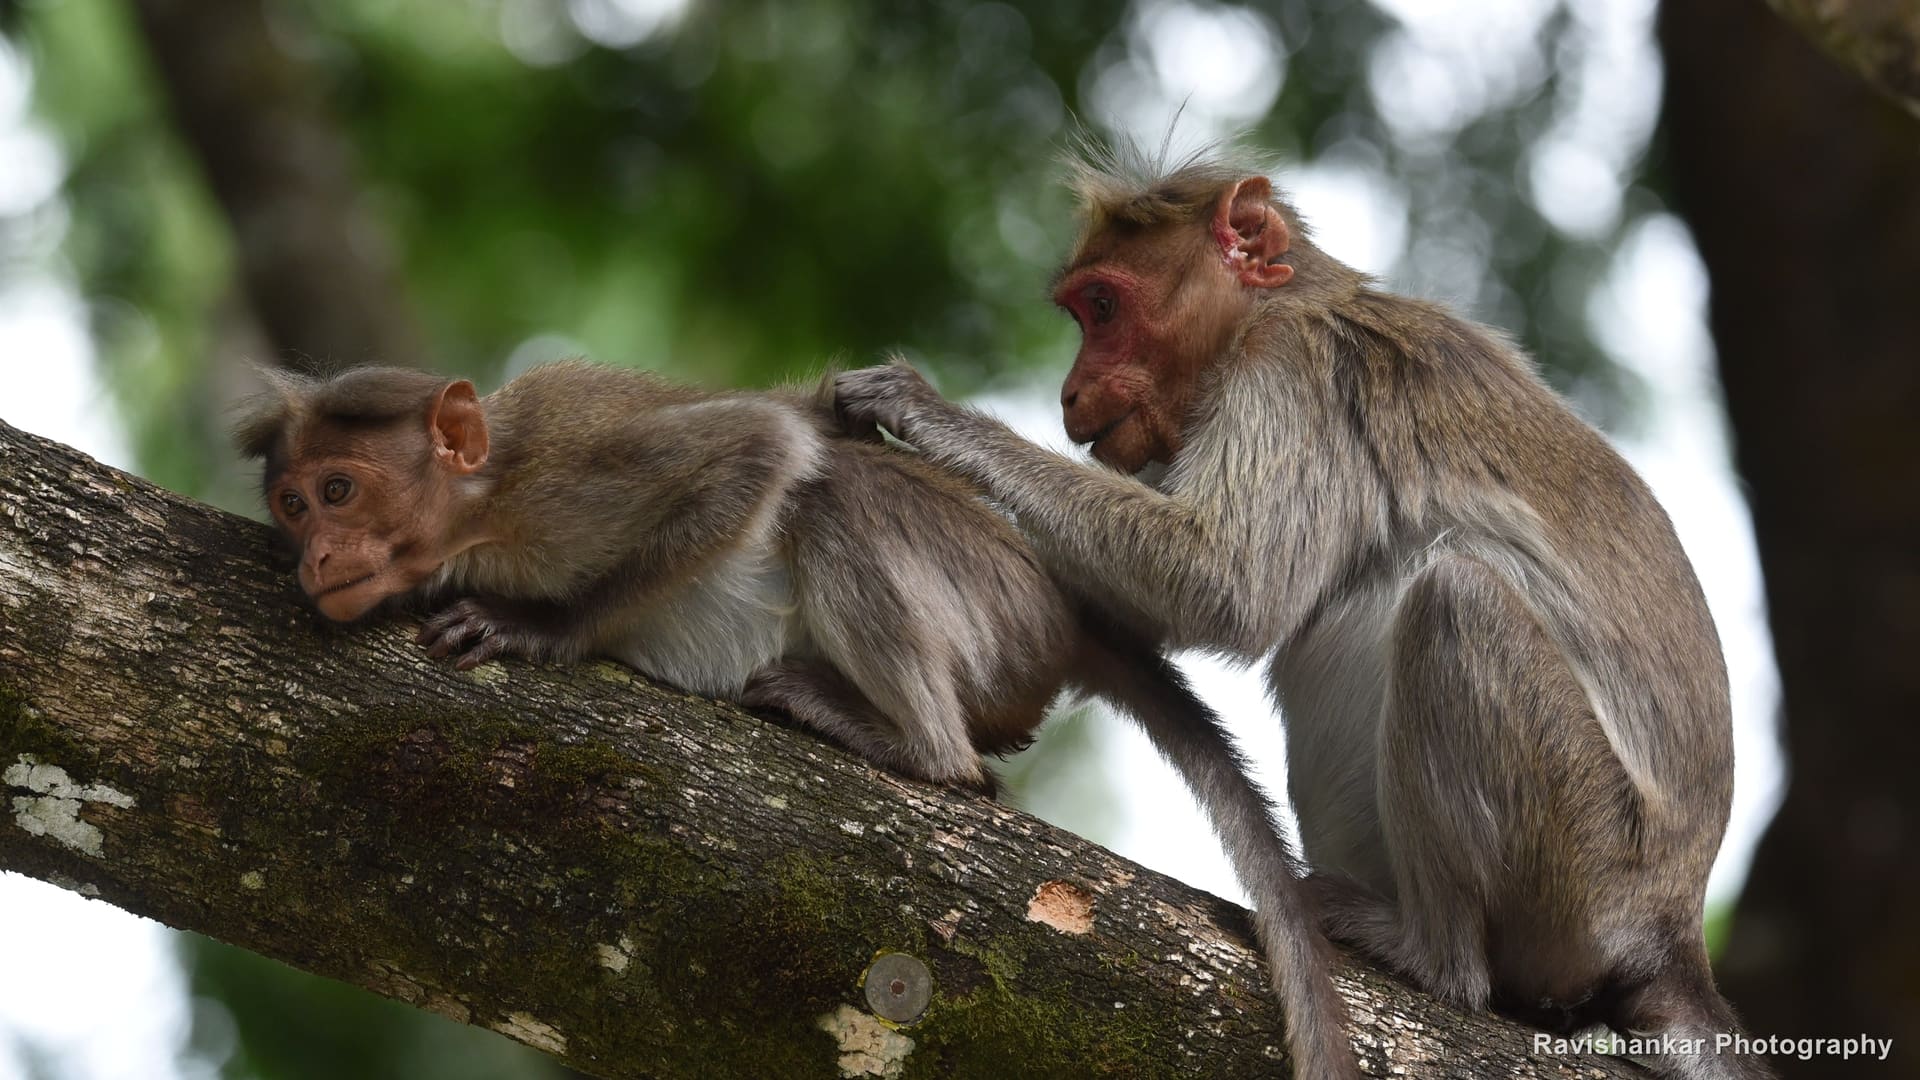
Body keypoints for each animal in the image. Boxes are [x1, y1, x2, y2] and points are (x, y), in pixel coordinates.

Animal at [234, 359, 1365, 1080]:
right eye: (291, 505)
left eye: (340, 490)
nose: (316, 557)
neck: (477, 514)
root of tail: (1061, 608)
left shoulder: (564, 467)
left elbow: (763, 443)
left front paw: (543, 631)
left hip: (990, 609)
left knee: (837, 498)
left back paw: (921, 750)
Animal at [835, 143, 1769, 1079]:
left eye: (1103, 308)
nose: (1069, 391)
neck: (1287, 301)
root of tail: (1670, 930)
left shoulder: (1291, 372)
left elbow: (1222, 583)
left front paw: (927, 415)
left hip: (1586, 871)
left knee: (1455, 600)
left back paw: (1433, 955)